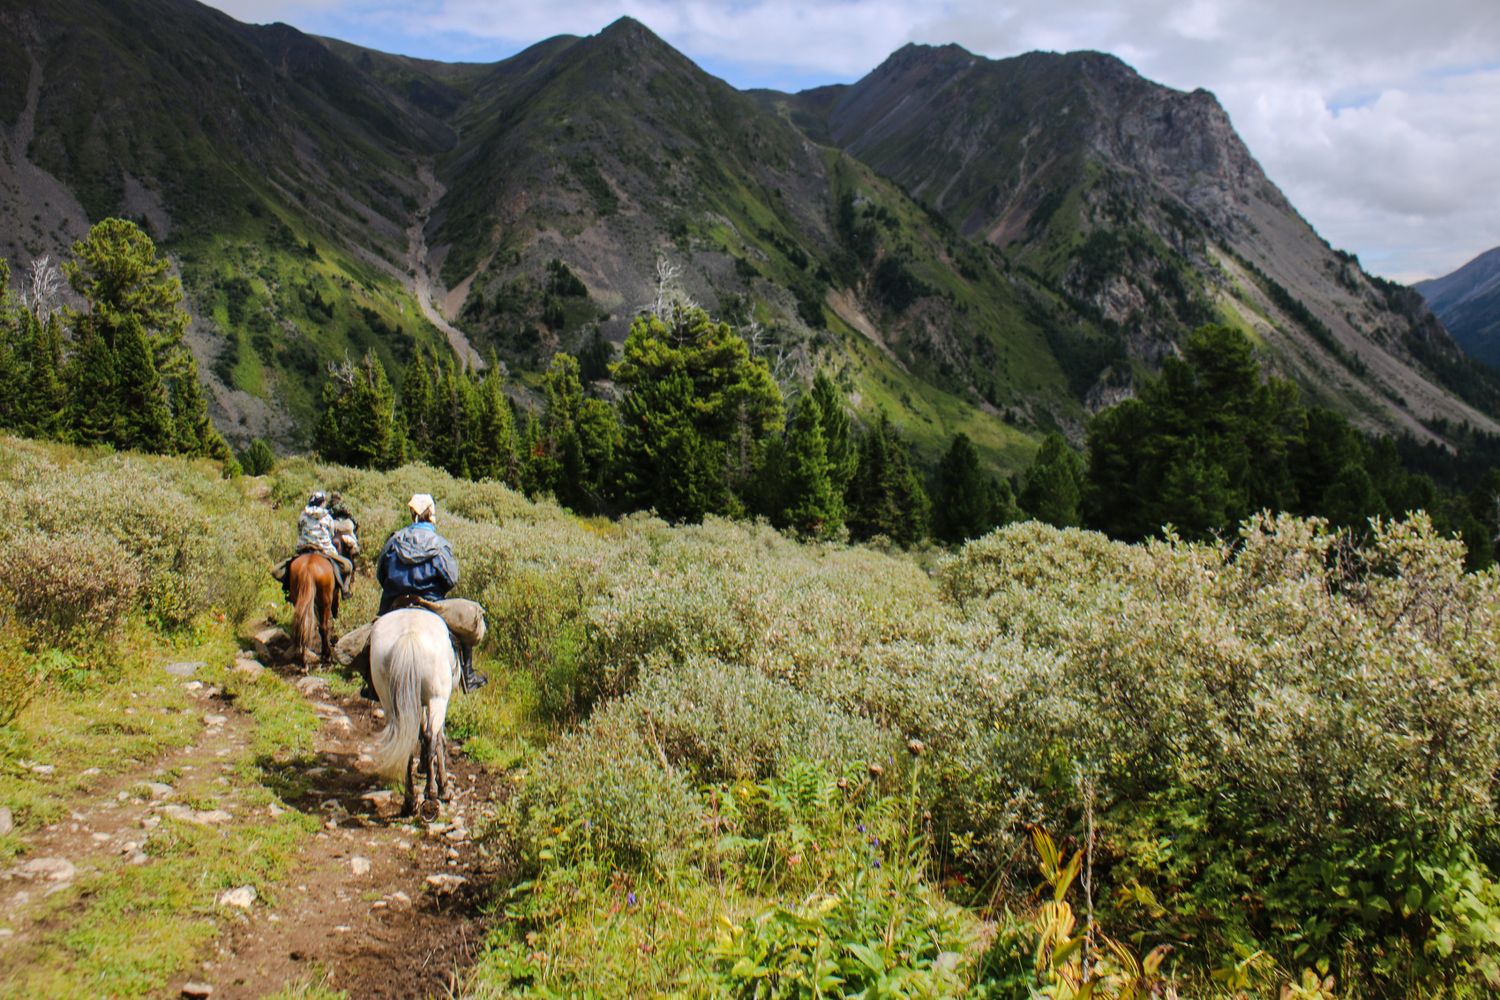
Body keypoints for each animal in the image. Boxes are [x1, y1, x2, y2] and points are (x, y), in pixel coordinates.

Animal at [367, 611, 456, 815]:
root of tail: (409, 637)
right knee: (431, 737)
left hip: (390, 701)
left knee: (406, 738)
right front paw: (444, 787)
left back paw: (410, 801)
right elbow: (438, 740)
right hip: (437, 699)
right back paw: (431, 795)